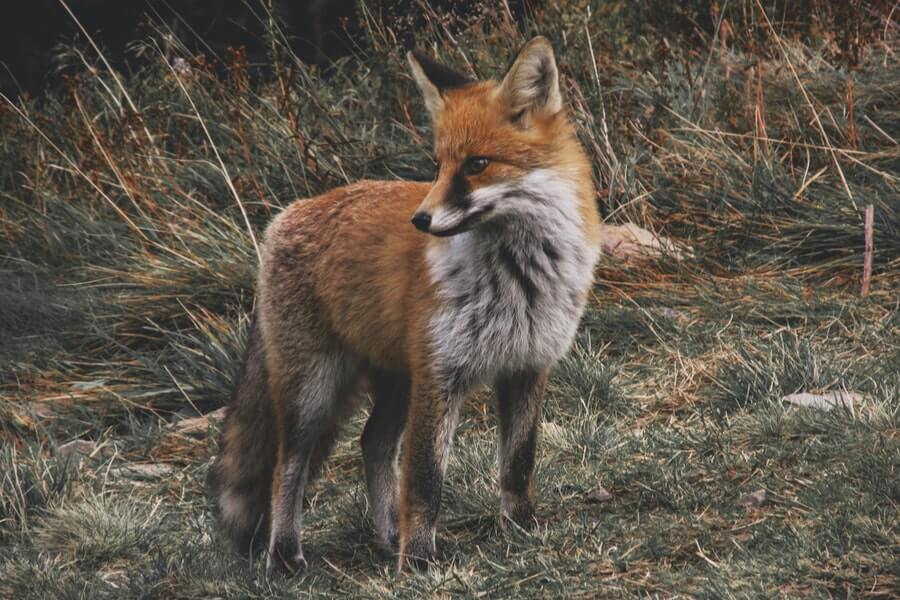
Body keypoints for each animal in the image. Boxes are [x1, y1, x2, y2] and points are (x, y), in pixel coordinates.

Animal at [208, 36, 601, 573]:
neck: (518, 277)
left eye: (476, 165)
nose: (421, 219)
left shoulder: (527, 365)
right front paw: (417, 561)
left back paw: (386, 535)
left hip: (395, 381)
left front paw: (520, 528)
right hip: (314, 391)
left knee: (372, 443)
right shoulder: (440, 375)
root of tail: (287, 214)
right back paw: (287, 554)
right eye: (437, 165)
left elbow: (518, 463)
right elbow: (425, 479)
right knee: (287, 466)